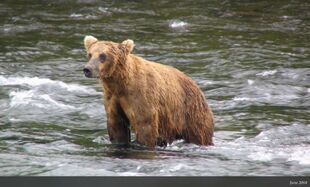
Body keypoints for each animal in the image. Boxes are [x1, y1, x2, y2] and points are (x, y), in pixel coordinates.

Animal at [82, 35, 214, 148]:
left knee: (200, 135)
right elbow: (117, 126)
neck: (120, 83)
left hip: (191, 113)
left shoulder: (141, 96)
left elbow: (145, 126)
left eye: (102, 56)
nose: (87, 69)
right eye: (90, 54)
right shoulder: (112, 98)